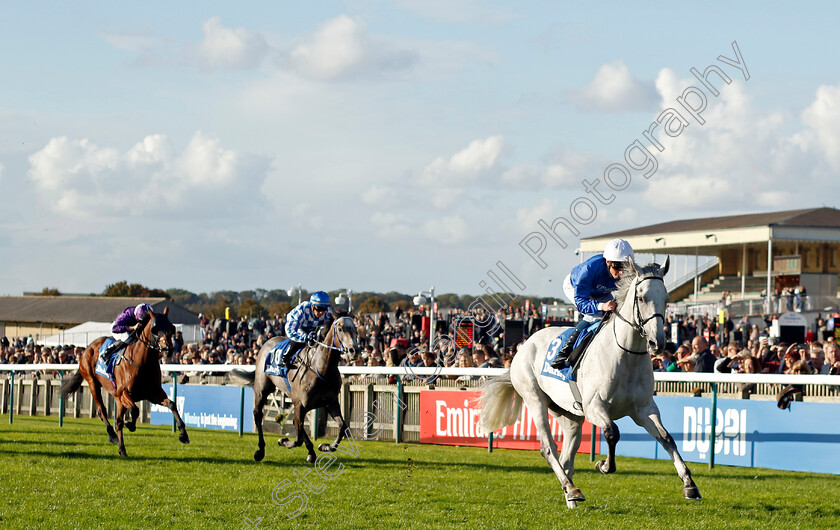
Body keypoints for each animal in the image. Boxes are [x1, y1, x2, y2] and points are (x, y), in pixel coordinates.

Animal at [60, 306, 189, 454]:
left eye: (171, 327)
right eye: (155, 329)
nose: (168, 348)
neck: (142, 363)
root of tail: (88, 348)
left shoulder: (153, 393)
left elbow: (172, 404)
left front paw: (183, 435)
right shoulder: (124, 393)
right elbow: (135, 410)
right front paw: (131, 425)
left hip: (116, 397)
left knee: (117, 421)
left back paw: (122, 448)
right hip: (93, 384)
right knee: (103, 411)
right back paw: (113, 436)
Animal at [231, 314, 360, 462]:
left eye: (355, 329)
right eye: (340, 329)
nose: (355, 350)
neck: (321, 369)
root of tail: (265, 344)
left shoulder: (330, 402)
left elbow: (343, 426)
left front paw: (326, 446)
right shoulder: (300, 404)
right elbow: (298, 439)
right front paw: (283, 441)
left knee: (297, 423)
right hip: (262, 389)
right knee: (258, 415)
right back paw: (260, 451)